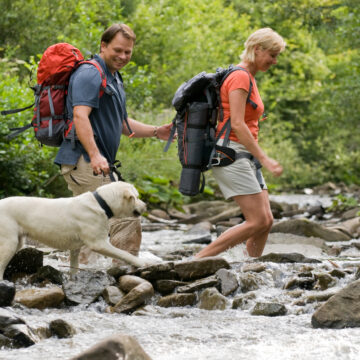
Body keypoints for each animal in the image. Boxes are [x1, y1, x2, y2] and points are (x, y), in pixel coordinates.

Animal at [0, 181, 149, 280]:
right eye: (136, 197)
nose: (146, 206)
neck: (101, 203)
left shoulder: (75, 248)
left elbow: (74, 266)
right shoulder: (99, 244)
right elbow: (123, 253)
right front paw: (141, 262)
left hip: (17, 241)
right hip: (9, 243)